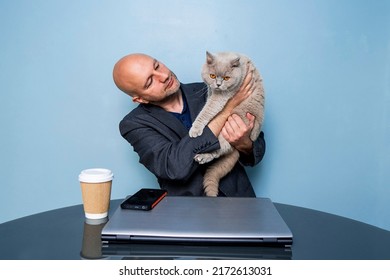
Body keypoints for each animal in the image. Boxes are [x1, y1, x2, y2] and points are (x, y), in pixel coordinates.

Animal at [189, 51, 266, 197]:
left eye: (226, 78)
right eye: (212, 76)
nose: (218, 84)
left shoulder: (220, 96)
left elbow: (206, 111)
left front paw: (195, 129)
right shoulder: (210, 90)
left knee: (221, 149)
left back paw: (202, 156)